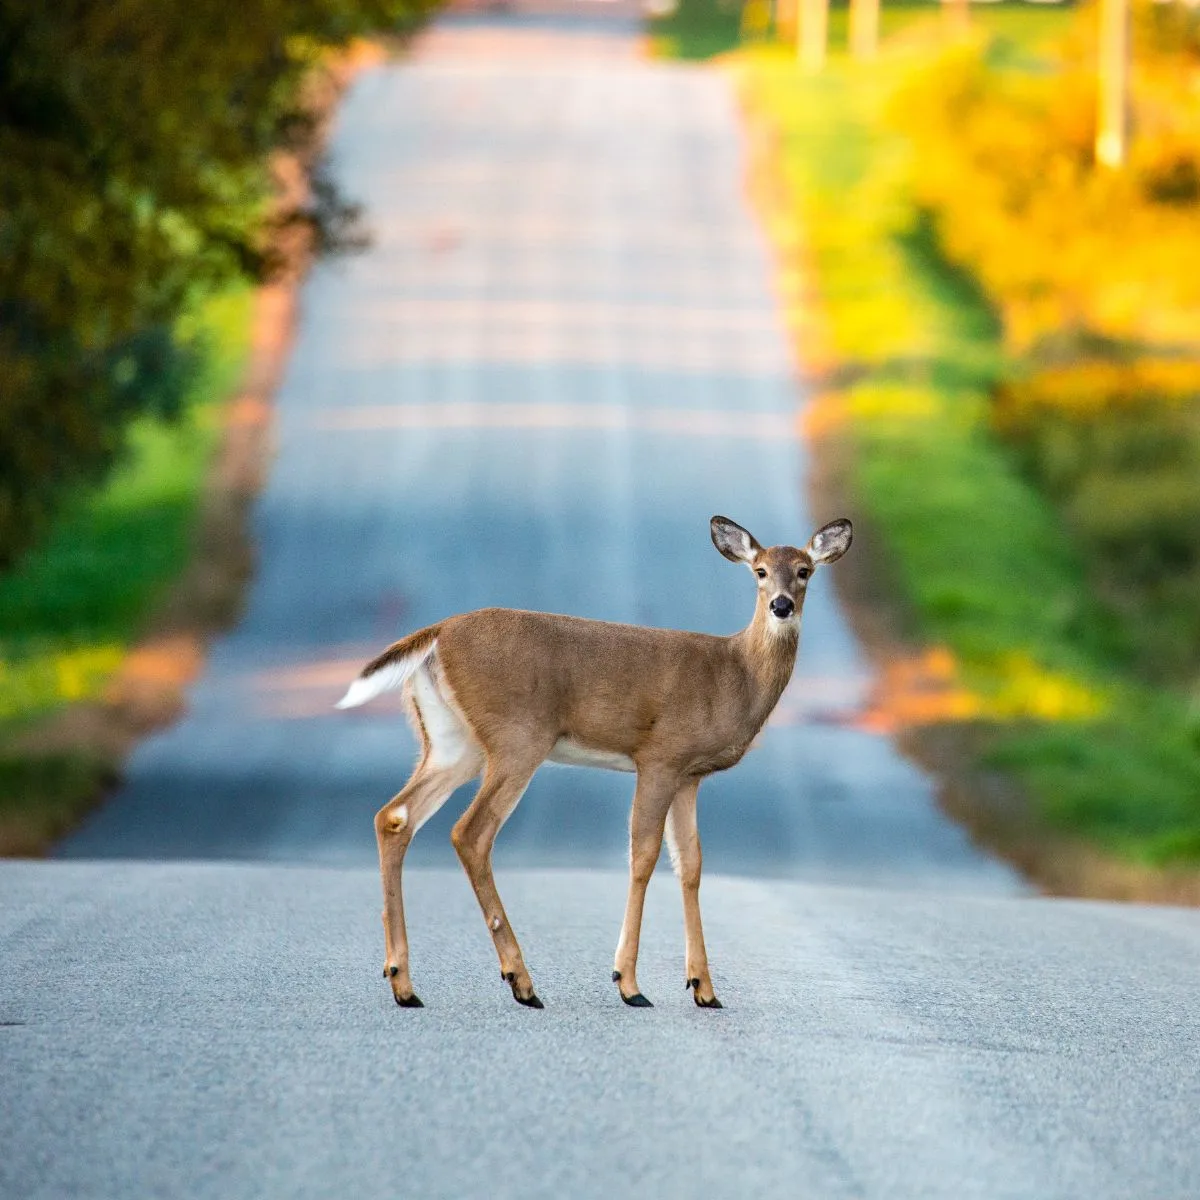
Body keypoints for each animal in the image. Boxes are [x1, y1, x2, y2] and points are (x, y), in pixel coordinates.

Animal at [338, 511, 854, 1008]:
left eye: (804, 571)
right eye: (760, 571)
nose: (781, 605)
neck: (736, 675)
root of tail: (437, 634)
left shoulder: (691, 775)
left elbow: (690, 864)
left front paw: (704, 989)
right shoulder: (661, 755)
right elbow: (643, 856)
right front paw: (629, 983)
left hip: (451, 742)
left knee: (395, 816)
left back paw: (405, 985)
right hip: (518, 738)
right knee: (470, 832)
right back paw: (521, 982)